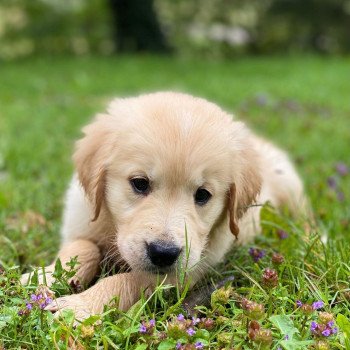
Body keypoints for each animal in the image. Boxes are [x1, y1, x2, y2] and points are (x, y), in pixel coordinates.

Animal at [21, 91, 306, 320]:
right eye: (139, 183)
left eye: (203, 194)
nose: (163, 253)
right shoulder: (82, 221)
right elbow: (81, 248)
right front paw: (42, 277)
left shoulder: (186, 271)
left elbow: (128, 279)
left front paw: (79, 306)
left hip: (292, 189)